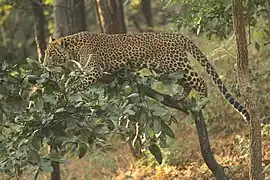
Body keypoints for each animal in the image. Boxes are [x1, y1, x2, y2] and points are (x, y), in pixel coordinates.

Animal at [43, 31, 249, 121]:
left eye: (51, 54)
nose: (44, 64)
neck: (73, 49)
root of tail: (177, 35)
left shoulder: (93, 70)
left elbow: (79, 83)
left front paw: (67, 91)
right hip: (166, 69)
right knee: (187, 83)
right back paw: (180, 97)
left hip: (176, 64)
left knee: (199, 81)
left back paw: (201, 102)